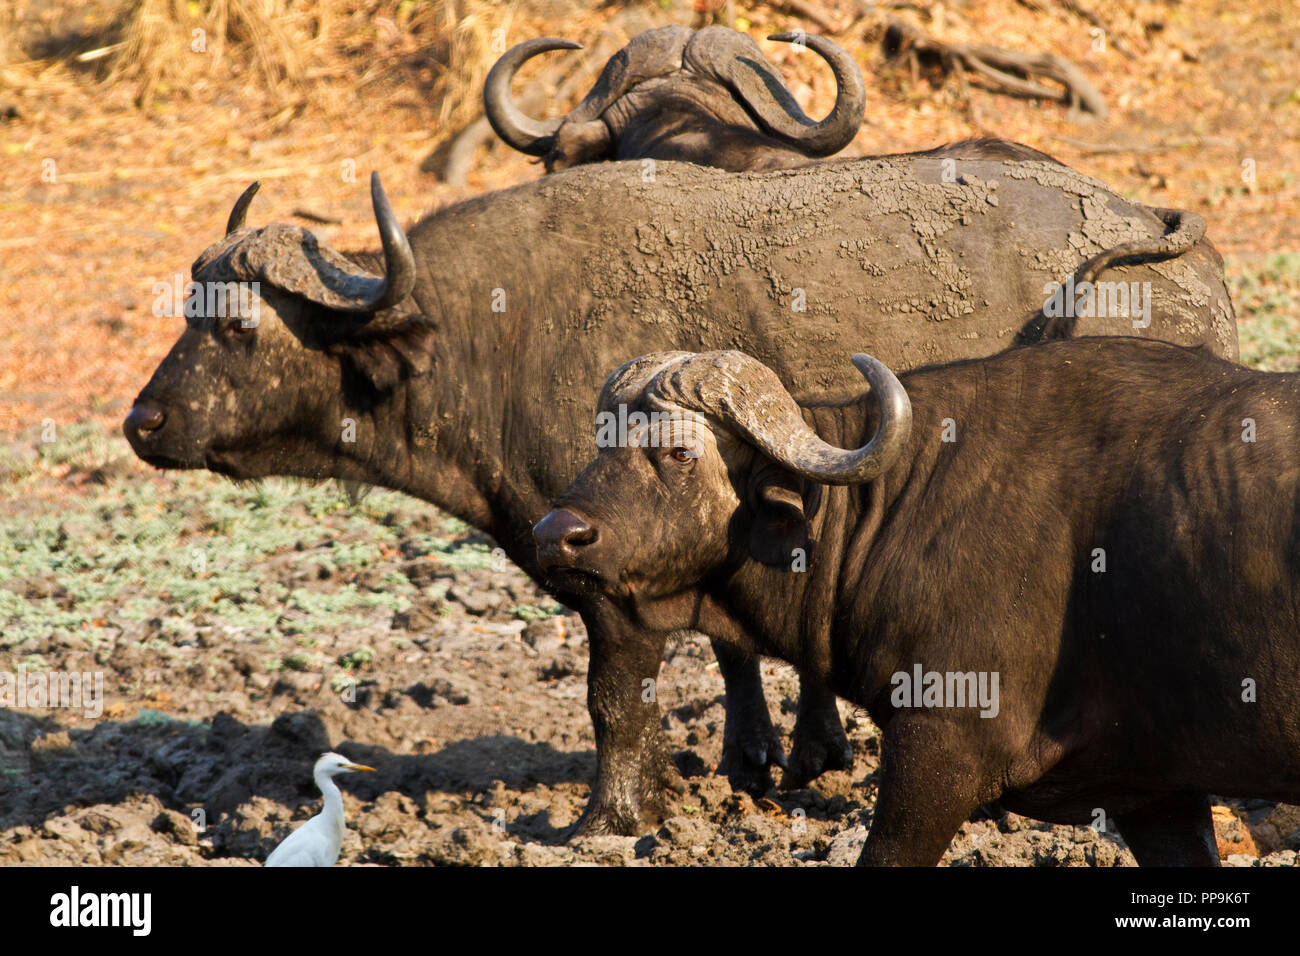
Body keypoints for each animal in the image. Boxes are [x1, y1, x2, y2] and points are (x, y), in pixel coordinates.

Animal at [126, 157, 1236, 835]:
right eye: (191, 306)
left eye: (237, 327)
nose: (142, 423)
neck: (491, 336)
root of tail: (1169, 240)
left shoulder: (612, 583)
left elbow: (614, 700)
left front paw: (608, 818)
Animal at [536, 338, 1300, 865]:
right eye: (603, 442)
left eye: (679, 453)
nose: (555, 535)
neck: (890, 508)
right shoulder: (1156, 794)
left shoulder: (940, 747)